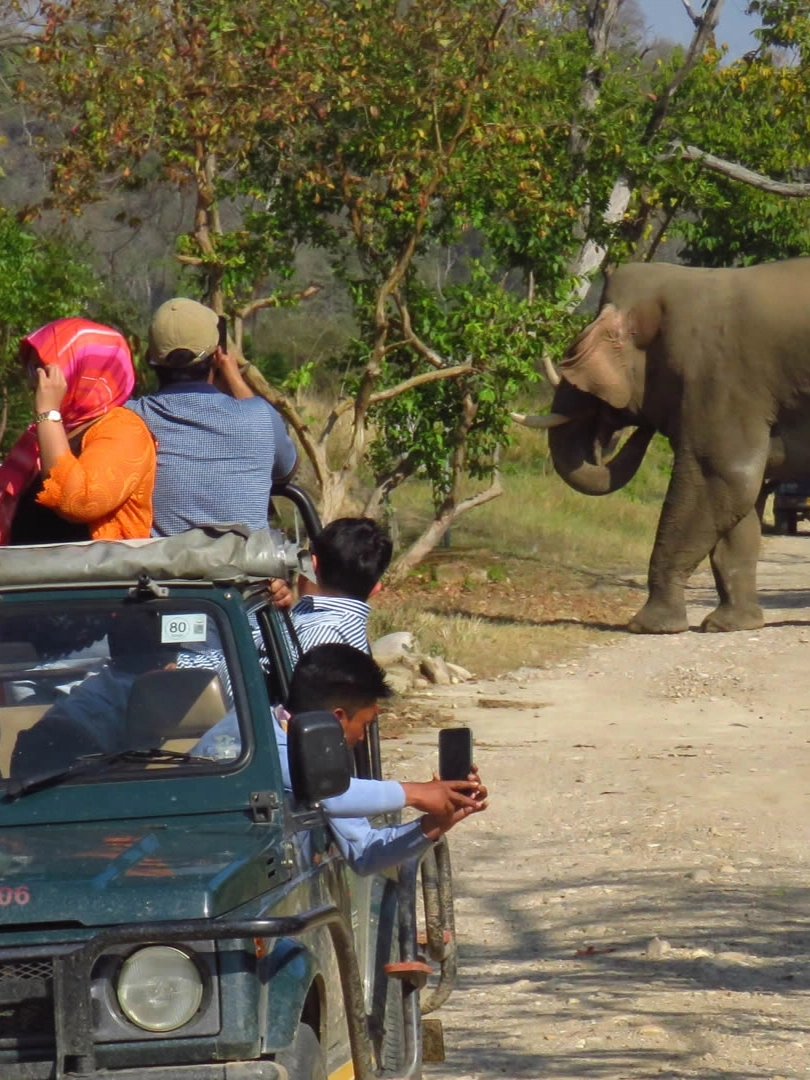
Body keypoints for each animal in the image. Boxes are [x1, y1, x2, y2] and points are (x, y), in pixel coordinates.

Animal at [518, 258, 810, 634]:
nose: (637, 428)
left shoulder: (719, 380)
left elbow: (722, 480)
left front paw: (647, 626)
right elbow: (742, 502)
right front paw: (728, 625)